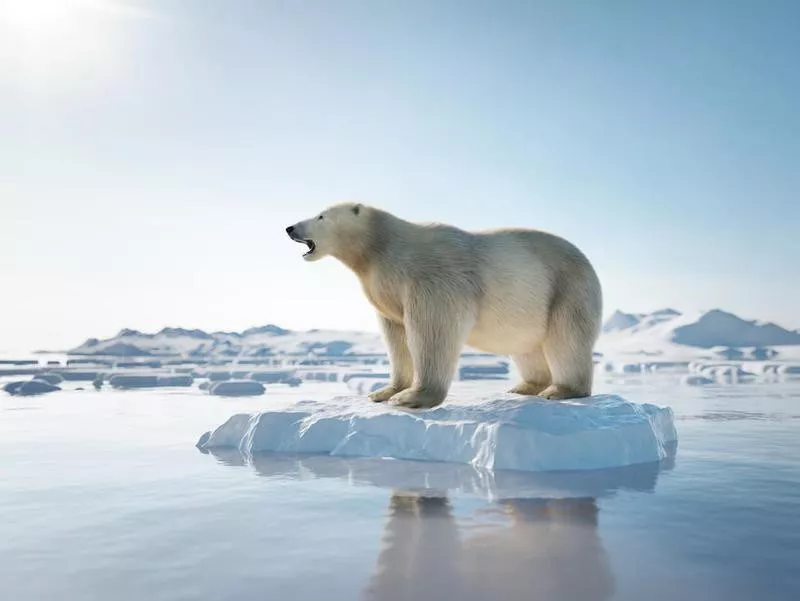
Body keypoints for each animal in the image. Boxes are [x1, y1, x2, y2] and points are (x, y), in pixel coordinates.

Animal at [286, 203, 600, 408]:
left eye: (320, 215)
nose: (290, 227)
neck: (381, 248)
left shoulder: (432, 278)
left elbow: (432, 330)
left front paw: (412, 397)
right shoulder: (387, 290)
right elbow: (396, 336)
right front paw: (384, 391)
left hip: (567, 288)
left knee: (566, 340)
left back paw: (560, 390)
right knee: (527, 347)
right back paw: (524, 387)